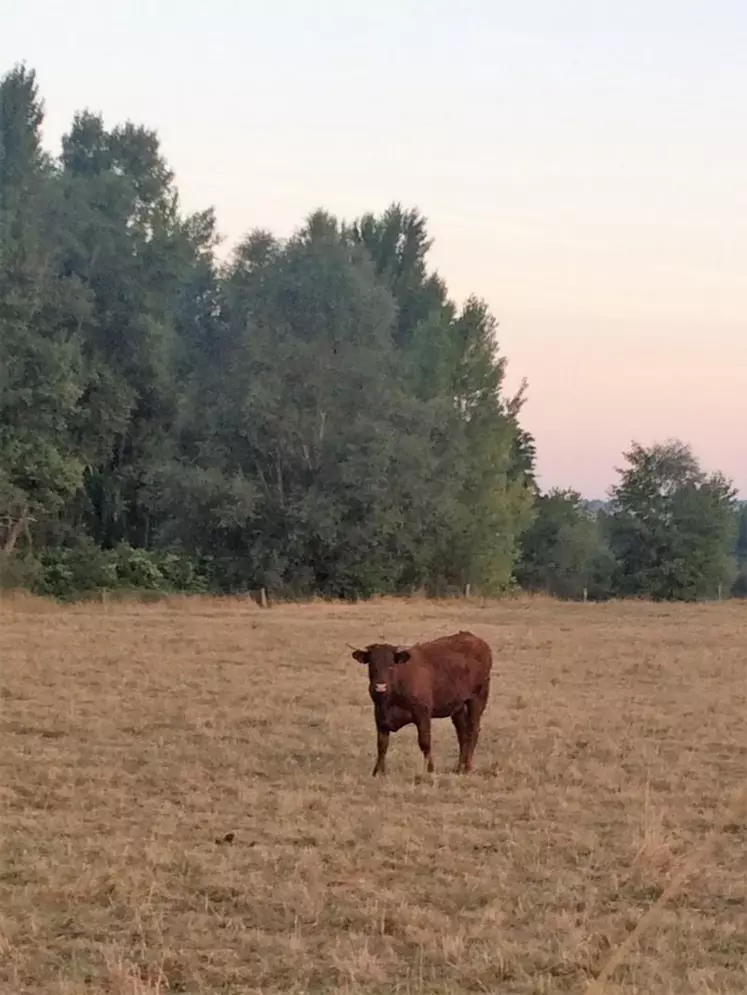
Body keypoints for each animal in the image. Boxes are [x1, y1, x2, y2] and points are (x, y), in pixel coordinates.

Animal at [350, 632, 490, 780]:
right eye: (371, 665)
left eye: (391, 665)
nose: (380, 687)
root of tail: (476, 640)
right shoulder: (380, 717)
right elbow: (382, 745)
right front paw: (378, 772)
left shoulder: (422, 715)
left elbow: (425, 742)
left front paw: (430, 769)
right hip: (458, 708)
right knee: (462, 734)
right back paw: (459, 768)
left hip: (477, 700)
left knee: (473, 730)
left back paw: (468, 767)